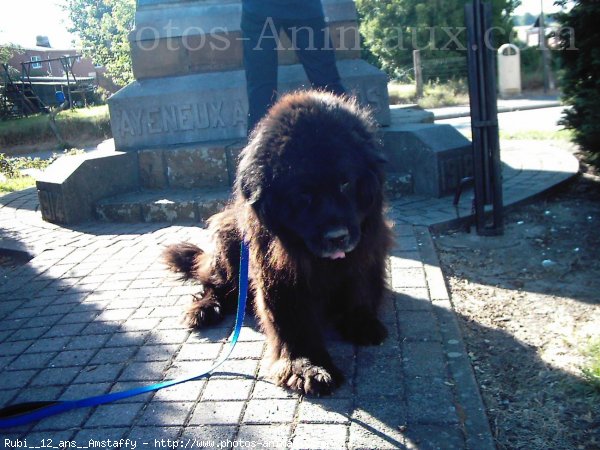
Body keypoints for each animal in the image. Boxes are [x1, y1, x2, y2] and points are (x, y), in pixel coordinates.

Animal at [164, 90, 394, 394]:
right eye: (303, 194)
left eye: (345, 183)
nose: (337, 237)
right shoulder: (277, 272)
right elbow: (291, 320)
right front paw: (308, 367)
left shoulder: (365, 250)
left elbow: (360, 288)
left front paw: (361, 322)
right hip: (227, 240)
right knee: (215, 285)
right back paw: (204, 309)